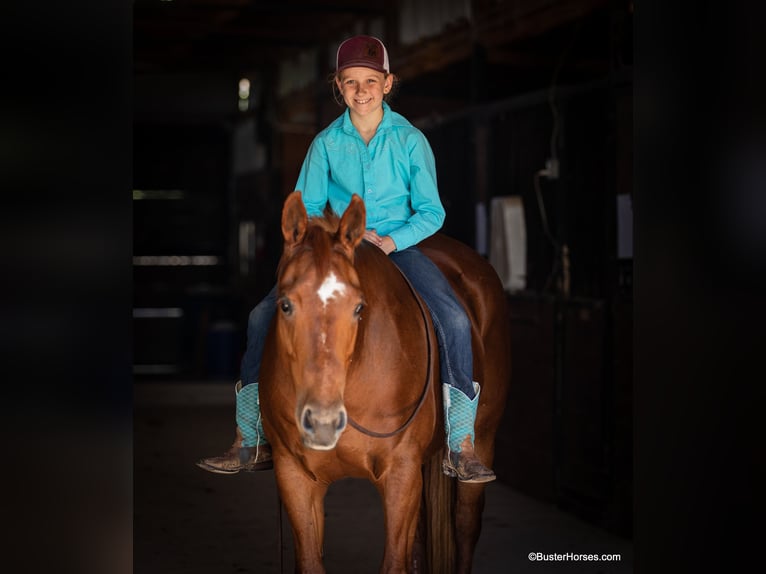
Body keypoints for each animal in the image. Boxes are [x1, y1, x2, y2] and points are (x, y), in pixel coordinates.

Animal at [260, 195, 512, 574]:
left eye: (358, 307)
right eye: (285, 305)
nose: (322, 421)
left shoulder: (401, 474)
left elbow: (394, 562)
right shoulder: (295, 477)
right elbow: (311, 561)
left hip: (482, 441)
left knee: (466, 525)